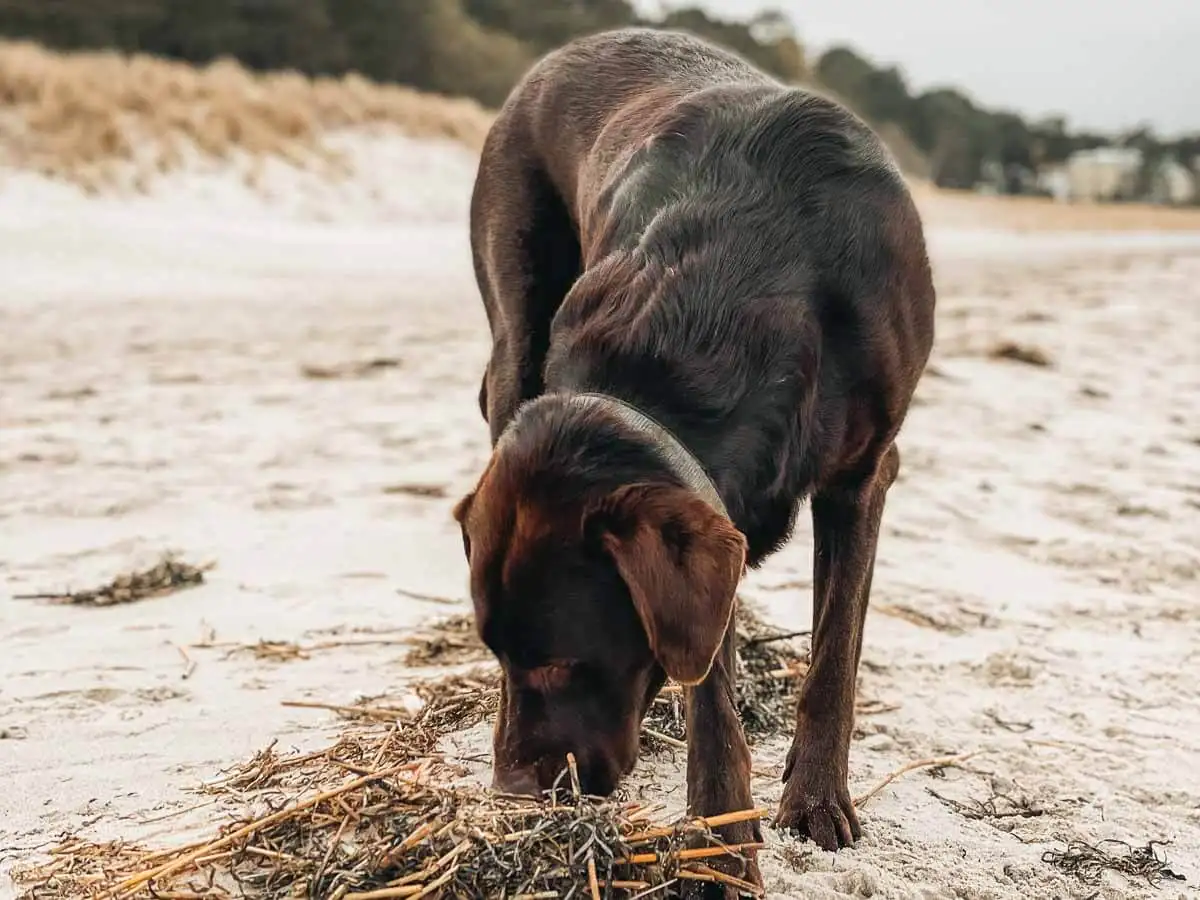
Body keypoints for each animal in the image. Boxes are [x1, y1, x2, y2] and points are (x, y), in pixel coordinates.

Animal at [453, 26, 931, 888]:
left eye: (561, 663)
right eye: (496, 653)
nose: (513, 795)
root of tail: (567, 50)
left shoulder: (865, 472)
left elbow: (835, 656)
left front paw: (816, 798)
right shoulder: (713, 522)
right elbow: (713, 685)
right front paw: (722, 838)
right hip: (515, 328)